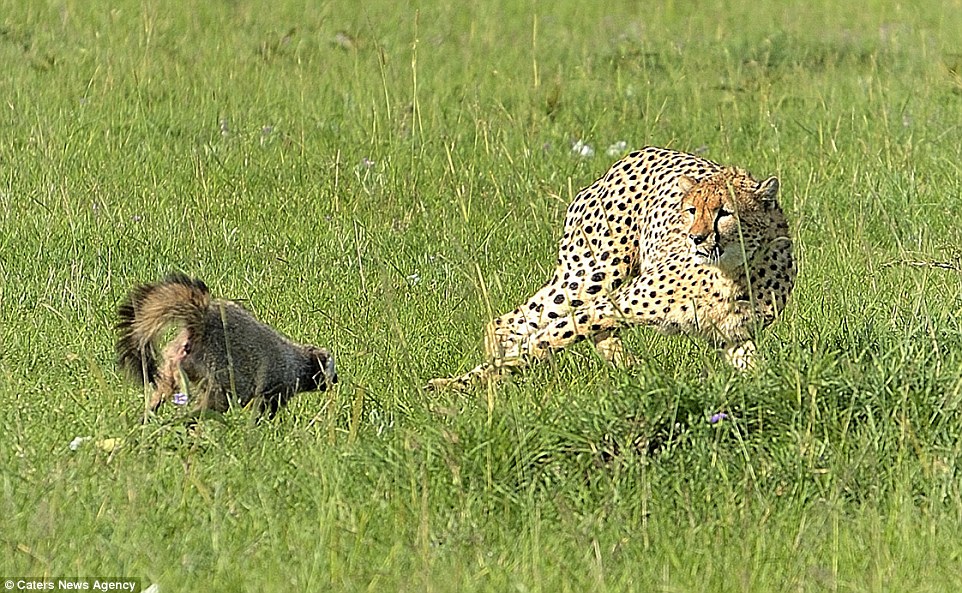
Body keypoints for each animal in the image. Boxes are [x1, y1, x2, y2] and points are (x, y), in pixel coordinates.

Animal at [428, 145, 796, 388]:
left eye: (725, 212)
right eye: (691, 210)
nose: (696, 238)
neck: (734, 272)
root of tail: (630, 156)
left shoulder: (734, 338)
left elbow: (755, 369)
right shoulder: (617, 302)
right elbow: (546, 339)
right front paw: (456, 384)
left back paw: (631, 366)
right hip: (592, 274)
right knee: (519, 320)